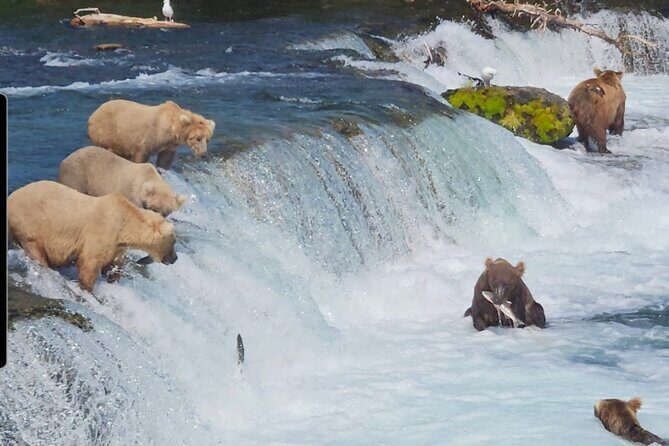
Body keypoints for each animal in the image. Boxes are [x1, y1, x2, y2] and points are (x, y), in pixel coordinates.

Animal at [8, 181, 178, 292]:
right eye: (173, 242)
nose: (175, 258)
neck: (125, 225)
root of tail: (11, 197)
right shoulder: (99, 231)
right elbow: (90, 263)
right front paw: (88, 288)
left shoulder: (116, 243)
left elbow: (114, 262)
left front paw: (113, 276)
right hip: (30, 223)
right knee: (35, 249)